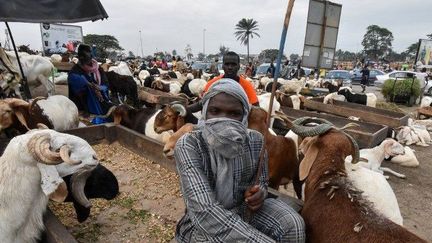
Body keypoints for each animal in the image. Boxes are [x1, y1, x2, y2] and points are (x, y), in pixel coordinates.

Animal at [298, 129, 426, 241]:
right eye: (396, 145)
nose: (404, 151)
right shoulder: (374, 168)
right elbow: (384, 170)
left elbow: (386, 169)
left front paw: (399, 175)